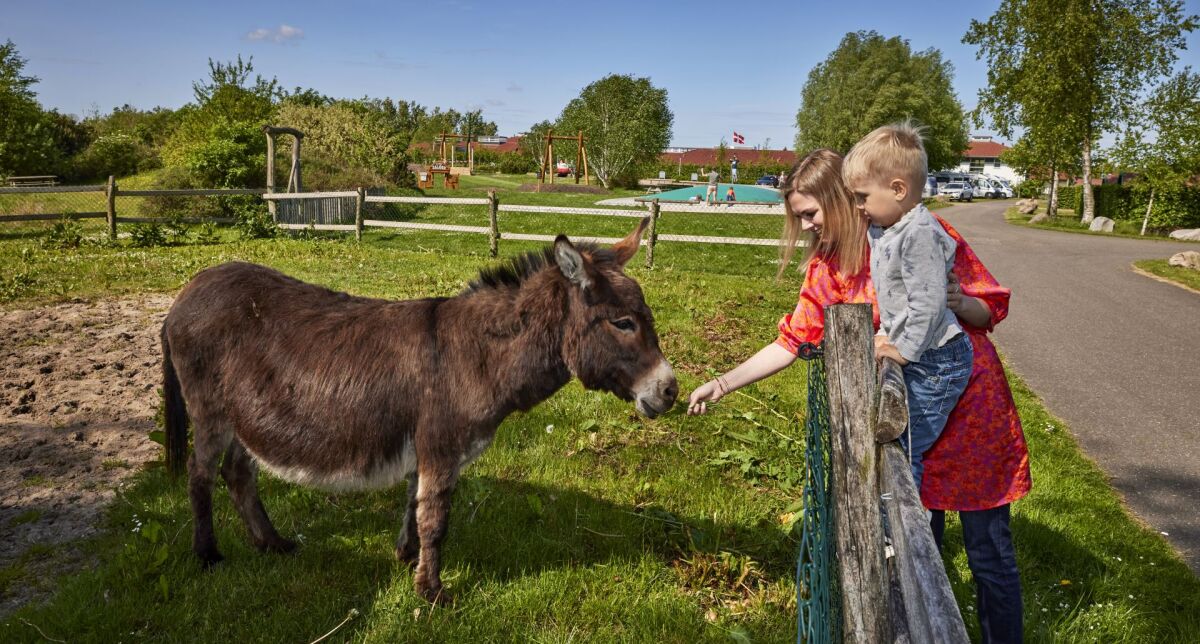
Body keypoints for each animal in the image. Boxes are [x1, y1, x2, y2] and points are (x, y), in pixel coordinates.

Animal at [160, 218, 677, 603]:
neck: (479, 355)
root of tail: (188, 289)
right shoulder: (441, 449)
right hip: (210, 413)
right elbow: (436, 520)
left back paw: (271, 543)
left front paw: (407, 560)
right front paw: (432, 591)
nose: (671, 391)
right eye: (623, 323)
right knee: (200, 474)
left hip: (244, 418)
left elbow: (414, 504)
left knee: (237, 473)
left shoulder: (422, 447)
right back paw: (208, 555)